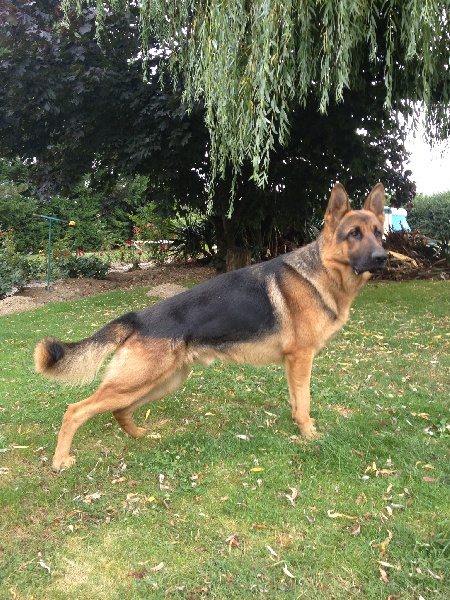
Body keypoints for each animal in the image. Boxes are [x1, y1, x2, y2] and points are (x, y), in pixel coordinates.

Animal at [34, 182, 387, 471]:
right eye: (354, 233)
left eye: (378, 233)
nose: (383, 257)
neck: (323, 271)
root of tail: (137, 317)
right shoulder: (301, 358)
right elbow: (305, 401)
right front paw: (309, 433)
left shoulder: (293, 364)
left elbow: (296, 400)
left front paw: (299, 425)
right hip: (139, 381)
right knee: (75, 410)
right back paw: (60, 460)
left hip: (163, 382)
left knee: (119, 411)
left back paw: (140, 436)